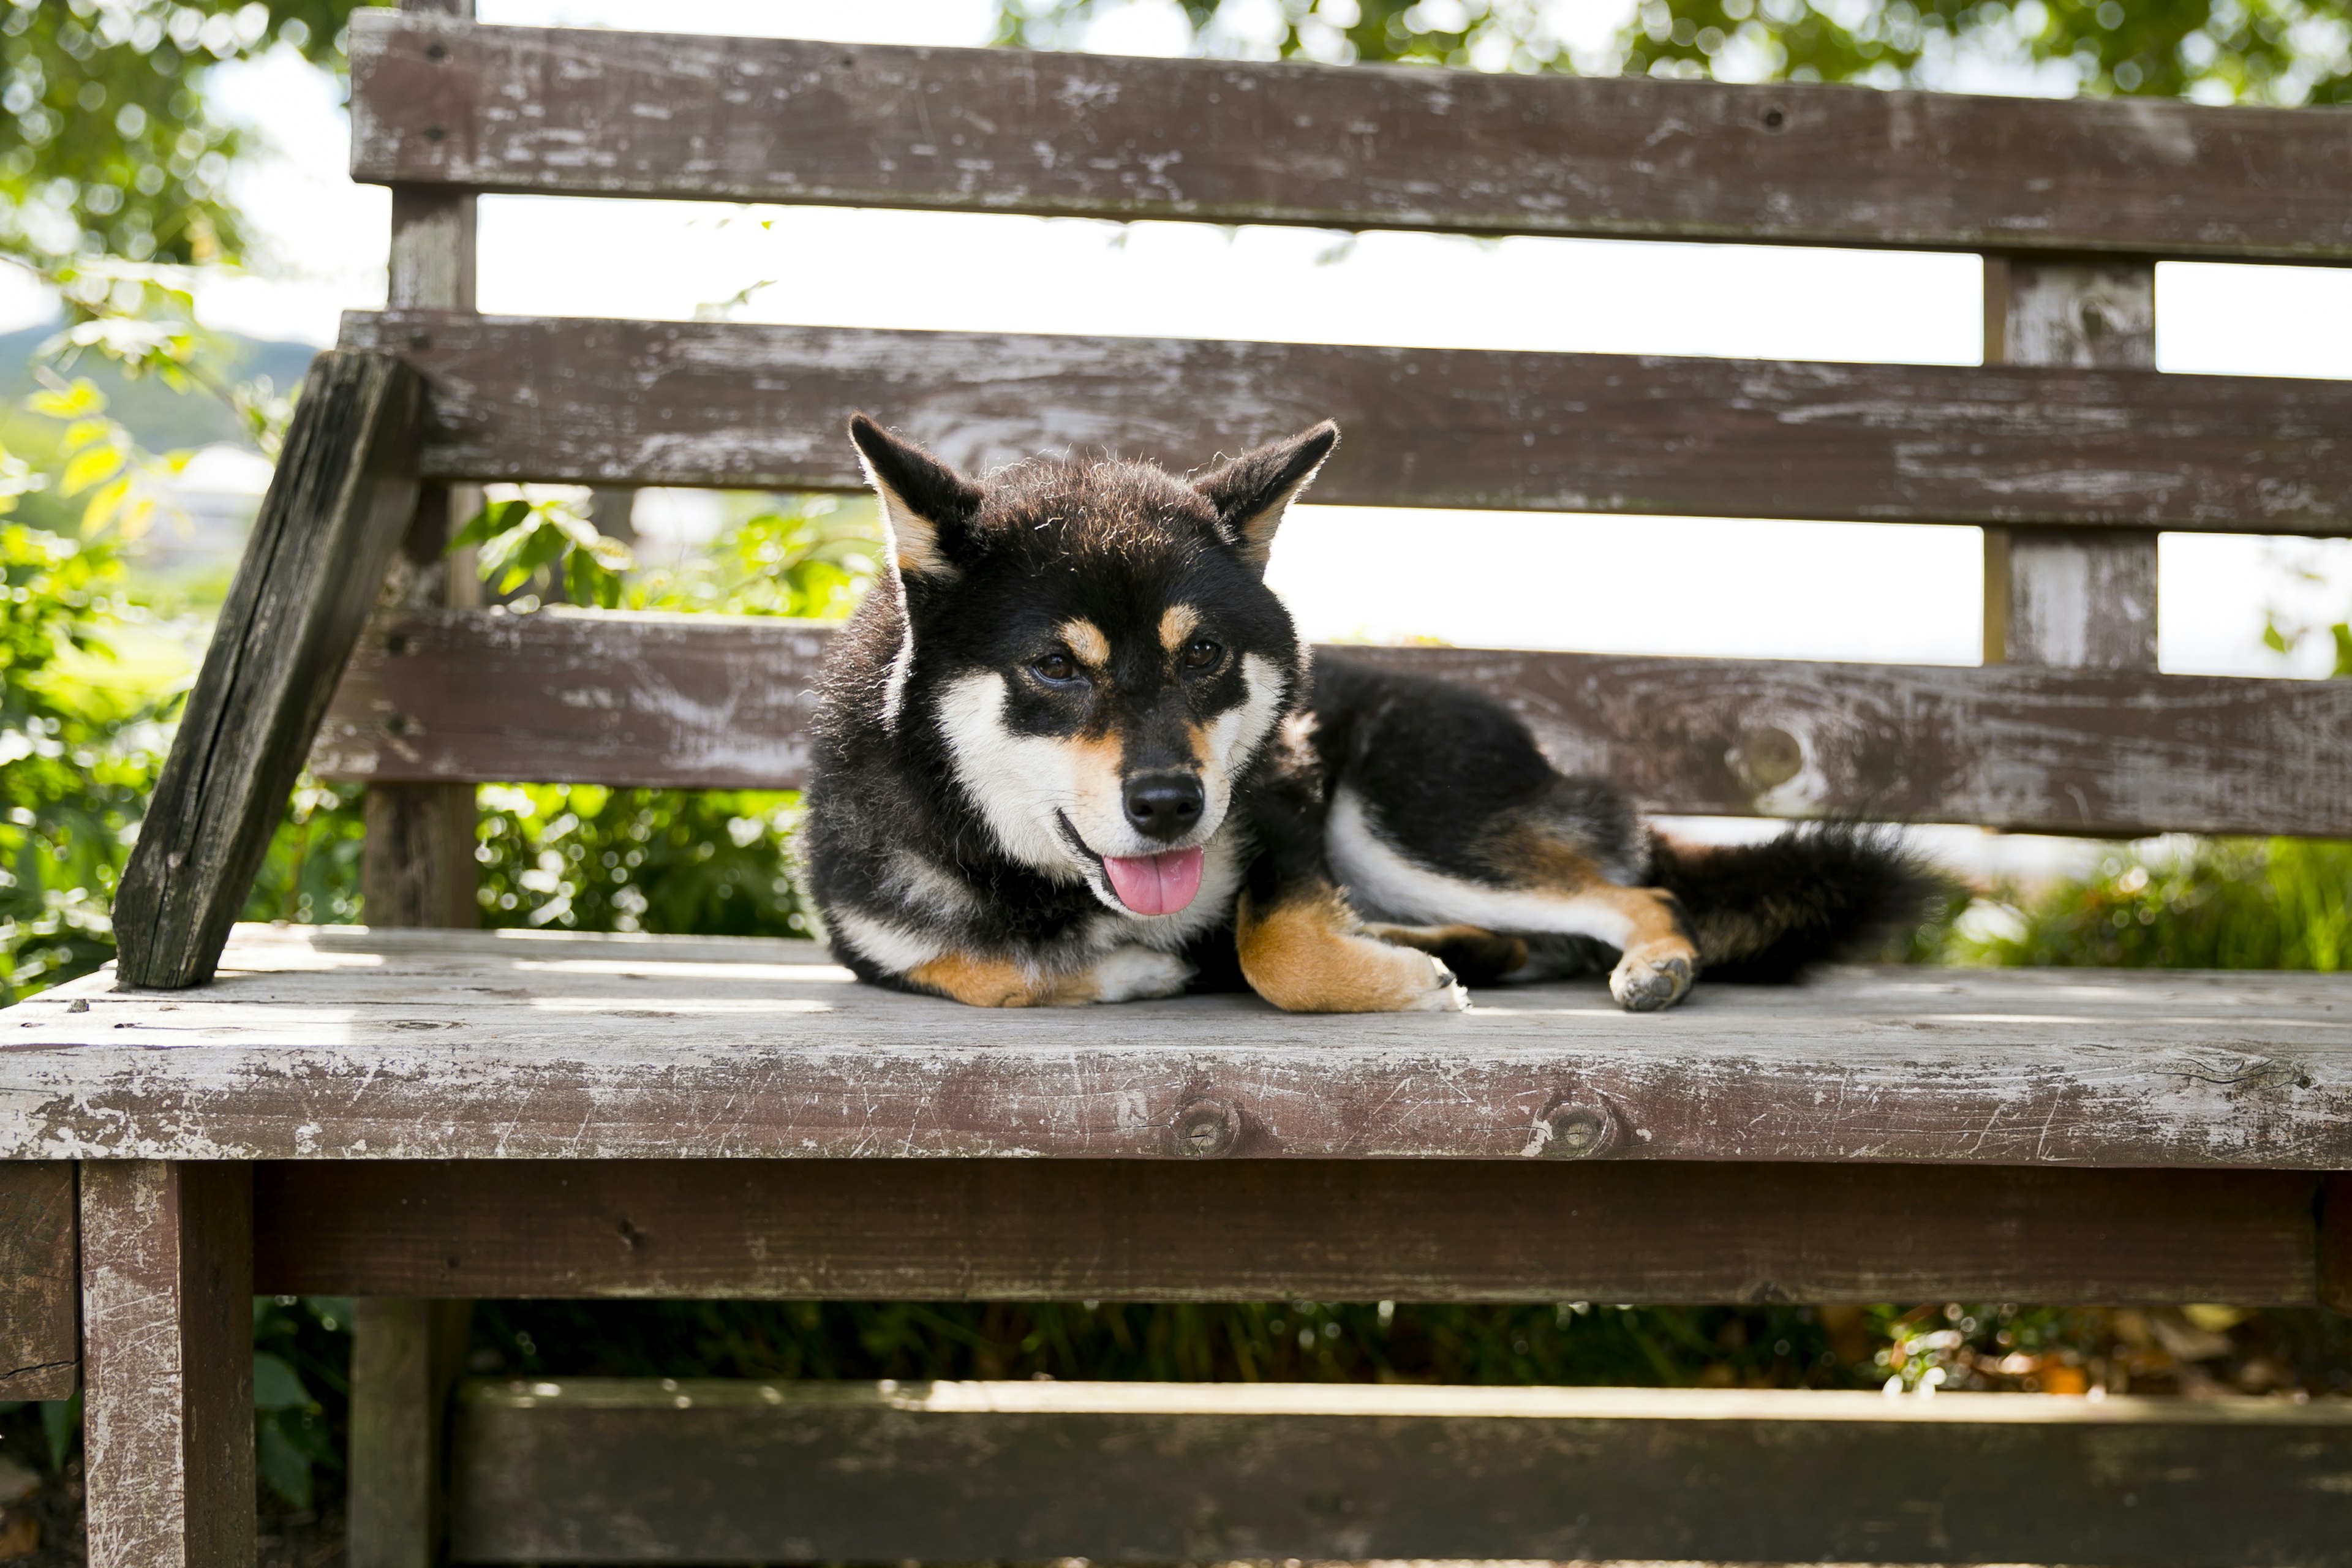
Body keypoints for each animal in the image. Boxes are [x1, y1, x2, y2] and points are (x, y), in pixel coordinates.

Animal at [799, 411, 1938, 1011]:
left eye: (1204, 654)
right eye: (1053, 667)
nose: (1172, 805)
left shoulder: (1293, 803)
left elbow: (1273, 948)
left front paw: (1395, 978)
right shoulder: (916, 954)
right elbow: (1011, 977)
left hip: (1400, 818)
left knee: (1644, 897)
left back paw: (1641, 961)